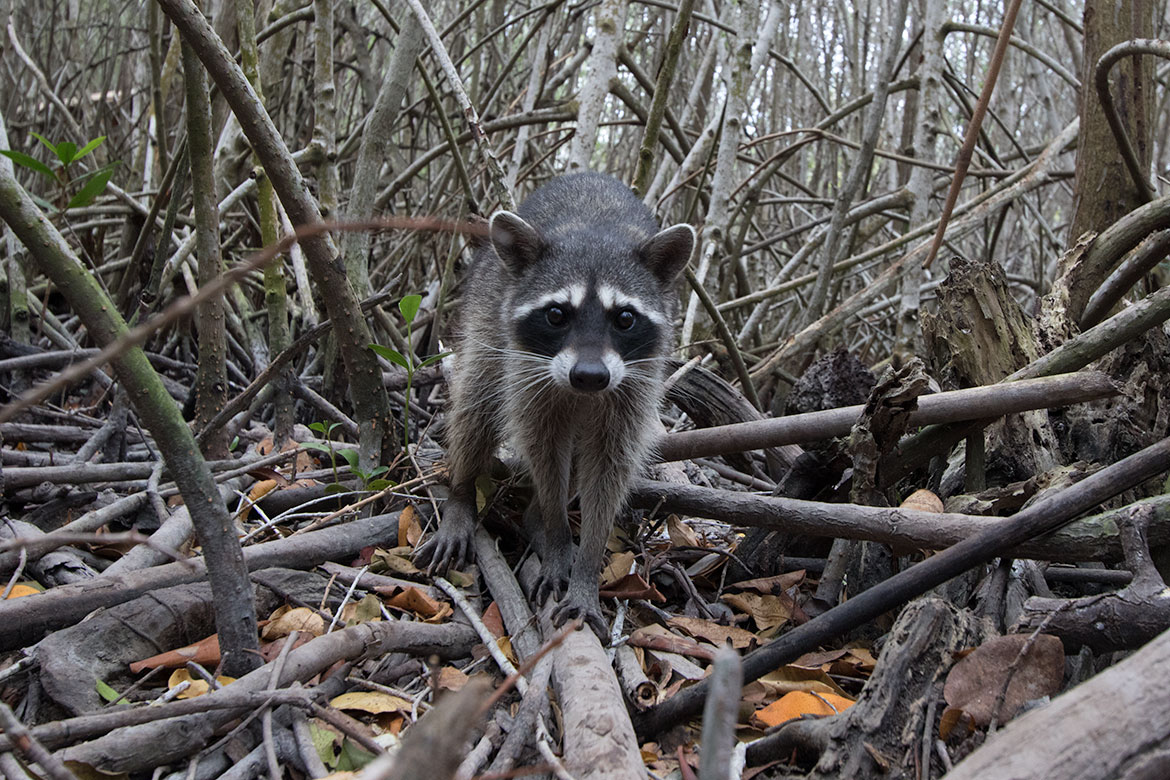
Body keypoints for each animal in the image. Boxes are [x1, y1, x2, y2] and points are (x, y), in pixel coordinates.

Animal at [416, 172, 695, 636]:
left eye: (625, 318)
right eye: (556, 315)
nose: (589, 376)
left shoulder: (633, 386)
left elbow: (609, 467)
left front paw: (586, 566)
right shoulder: (530, 374)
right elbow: (544, 448)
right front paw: (557, 536)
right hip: (488, 312)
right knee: (476, 401)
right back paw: (463, 494)